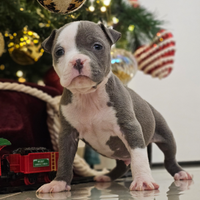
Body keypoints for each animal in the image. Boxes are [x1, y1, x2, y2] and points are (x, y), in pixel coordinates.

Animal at [37, 20, 192, 192]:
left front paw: (143, 180)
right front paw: (58, 183)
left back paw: (181, 173)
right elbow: (64, 160)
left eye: (97, 46)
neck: (88, 96)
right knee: (121, 166)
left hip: (166, 136)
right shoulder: (67, 135)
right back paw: (106, 177)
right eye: (59, 52)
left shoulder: (129, 127)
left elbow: (139, 157)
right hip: (118, 152)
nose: (77, 60)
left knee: (169, 158)